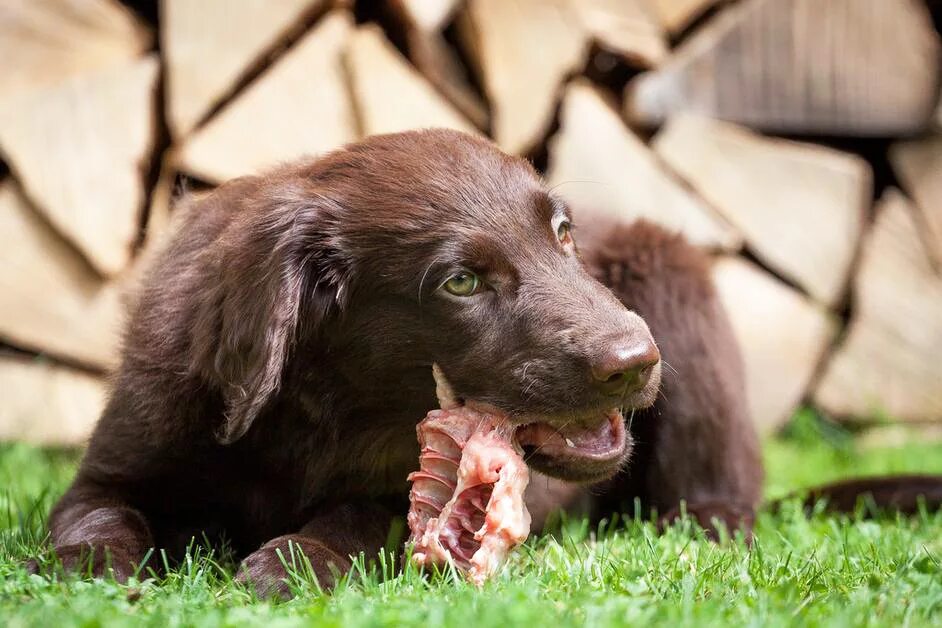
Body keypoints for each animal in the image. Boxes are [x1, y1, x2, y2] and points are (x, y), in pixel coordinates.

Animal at [46, 131, 768, 592]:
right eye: (460, 283)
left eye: (563, 235)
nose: (635, 361)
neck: (321, 410)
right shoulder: (118, 463)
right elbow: (95, 514)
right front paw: (92, 570)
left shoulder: (396, 498)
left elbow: (357, 518)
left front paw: (293, 562)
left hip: (672, 275)